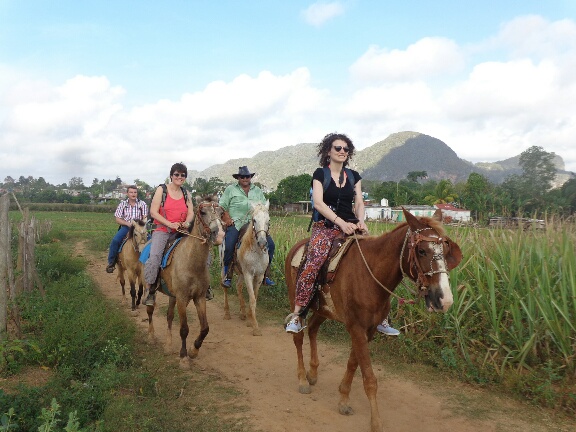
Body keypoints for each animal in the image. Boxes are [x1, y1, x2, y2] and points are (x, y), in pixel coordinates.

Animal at [145, 196, 224, 368]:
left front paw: (194, 351)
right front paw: (183, 357)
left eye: (221, 213)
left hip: (172, 296)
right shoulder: (182, 298)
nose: (220, 235)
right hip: (149, 288)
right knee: (150, 310)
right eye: (203, 212)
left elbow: (205, 328)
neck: (192, 263)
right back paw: (151, 336)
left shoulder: (199, 297)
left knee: (169, 316)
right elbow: (184, 329)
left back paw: (168, 345)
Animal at [224, 201, 272, 336]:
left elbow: (254, 297)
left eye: (268, 220)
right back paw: (227, 313)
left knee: (238, 286)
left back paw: (243, 313)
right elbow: (252, 299)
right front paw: (255, 327)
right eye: (254, 220)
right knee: (224, 287)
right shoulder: (248, 275)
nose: (262, 243)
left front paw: (250, 318)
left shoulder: (259, 276)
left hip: (241, 273)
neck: (256, 251)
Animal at [284, 208, 464, 430]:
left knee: (312, 329)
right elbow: (369, 378)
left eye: (445, 251)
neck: (370, 275)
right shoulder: (356, 328)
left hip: (323, 309)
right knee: (298, 337)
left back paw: (313, 373)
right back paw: (302, 379)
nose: (444, 300)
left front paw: (343, 398)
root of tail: (296, 247)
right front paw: (375, 421)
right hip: (297, 300)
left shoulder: (367, 331)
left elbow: (353, 364)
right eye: (421, 251)